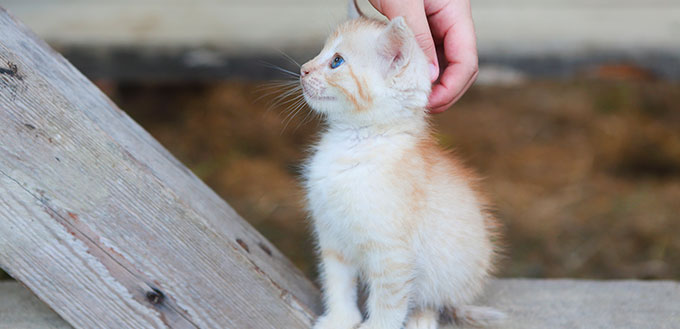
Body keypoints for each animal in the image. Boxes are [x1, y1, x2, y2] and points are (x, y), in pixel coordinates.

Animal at [300, 2, 502, 328]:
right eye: (321, 51)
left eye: (336, 61)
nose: (303, 69)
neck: (354, 144)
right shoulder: (332, 237)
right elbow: (337, 282)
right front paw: (340, 318)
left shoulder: (393, 254)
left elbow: (388, 301)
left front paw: (375, 325)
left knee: (433, 300)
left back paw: (421, 317)